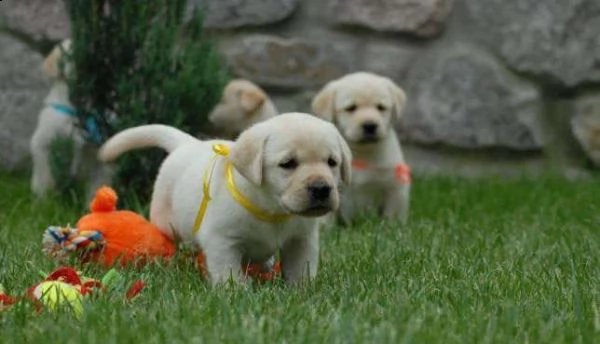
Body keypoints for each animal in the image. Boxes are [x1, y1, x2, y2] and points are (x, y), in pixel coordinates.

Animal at [98, 112, 352, 284]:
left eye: (332, 162)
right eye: (288, 164)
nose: (321, 188)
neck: (273, 210)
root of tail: (187, 143)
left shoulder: (301, 240)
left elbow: (301, 270)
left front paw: (301, 292)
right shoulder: (223, 241)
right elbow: (228, 272)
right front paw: (236, 293)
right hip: (165, 220)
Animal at [312, 71, 410, 224]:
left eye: (381, 107)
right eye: (351, 108)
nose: (370, 125)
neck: (363, 152)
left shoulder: (394, 186)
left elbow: (391, 214)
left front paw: (391, 226)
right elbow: (326, 215)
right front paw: (325, 227)